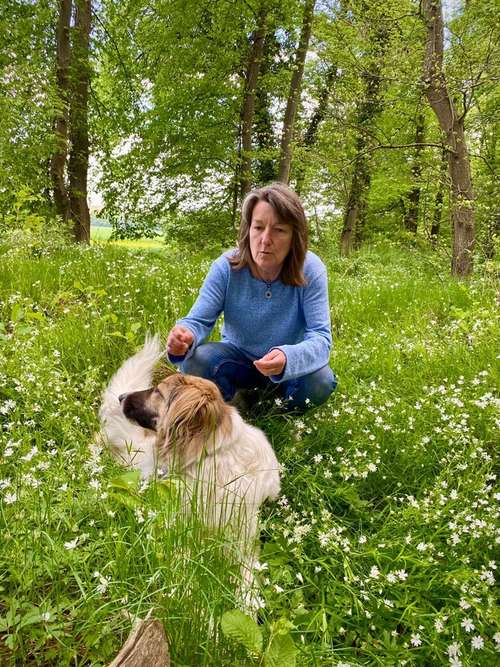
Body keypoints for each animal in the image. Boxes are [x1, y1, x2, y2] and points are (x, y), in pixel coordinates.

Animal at [99, 336, 280, 604]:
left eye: (157, 391)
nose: (121, 397)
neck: (209, 457)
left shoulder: (243, 538)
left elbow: (247, 574)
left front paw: (247, 603)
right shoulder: (177, 527)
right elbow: (183, 564)